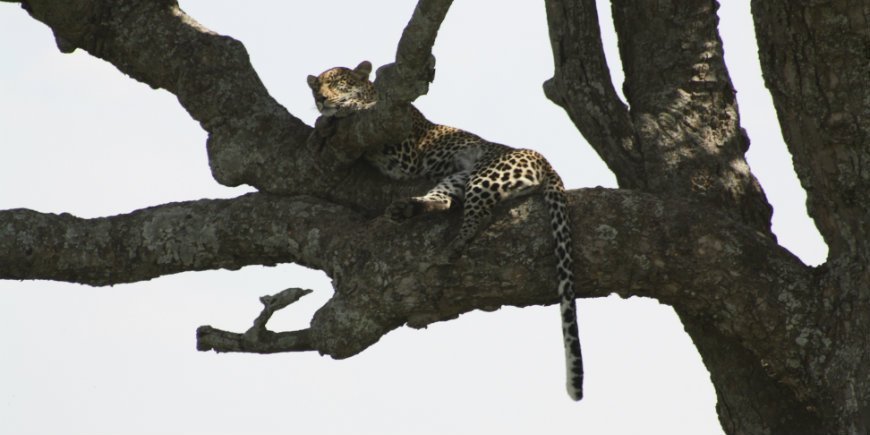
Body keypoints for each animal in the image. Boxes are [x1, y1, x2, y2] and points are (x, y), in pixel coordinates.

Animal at [307, 61, 584, 401]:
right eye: (316, 88)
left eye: (339, 82)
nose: (321, 97)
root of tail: (544, 160)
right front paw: (322, 123)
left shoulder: (403, 150)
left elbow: (360, 109)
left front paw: (337, 113)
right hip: (458, 177)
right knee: (444, 201)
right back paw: (406, 209)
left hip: (487, 172)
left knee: (478, 215)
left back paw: (450, 247)